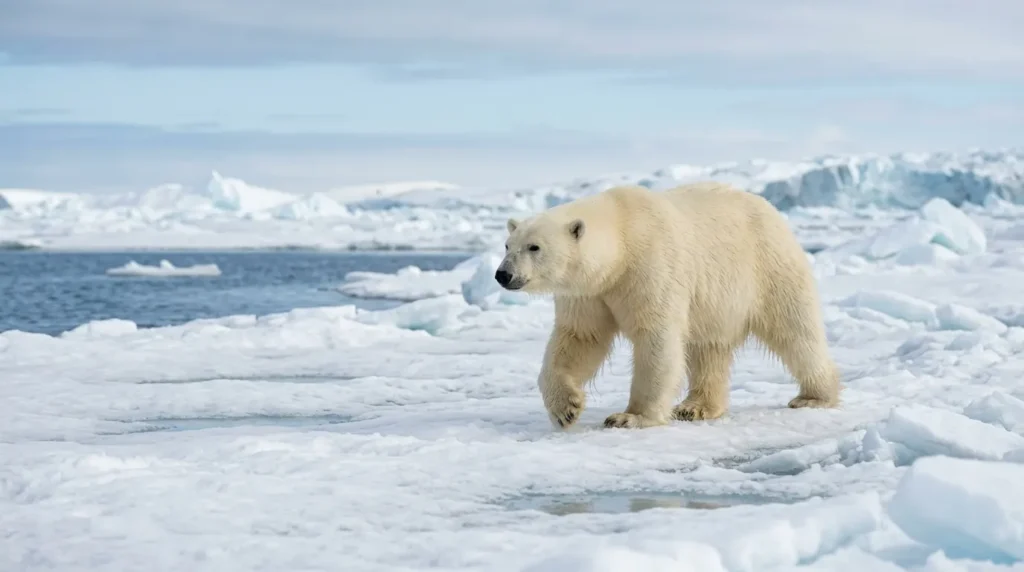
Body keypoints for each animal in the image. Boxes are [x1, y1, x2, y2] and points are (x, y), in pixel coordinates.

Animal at [494, 181, 841, 430]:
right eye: (508, 245)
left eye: (534, 247)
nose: (502, 274)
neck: (622, 238)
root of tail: (770, 210)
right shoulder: (588, 293)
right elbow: (580, 338)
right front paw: (566, 408)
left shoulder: (651, 266)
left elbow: (655, 338)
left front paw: (630, 417)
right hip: (716, 301)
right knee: (709, 348)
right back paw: (696, 407)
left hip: (767, 267)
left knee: (795, 331)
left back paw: (815, 396)